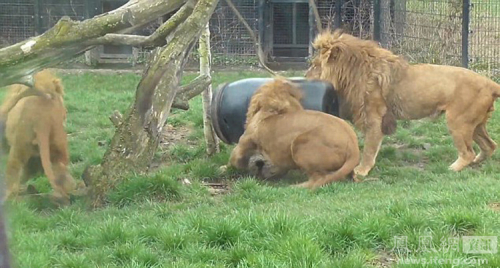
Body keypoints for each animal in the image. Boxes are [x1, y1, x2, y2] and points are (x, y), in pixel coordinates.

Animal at [226, 77, 360, 188]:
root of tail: (354, 149)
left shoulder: (243, 143)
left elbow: (233, 159)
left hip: (299, 144)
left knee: (318, 179)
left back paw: (295, 187)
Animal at [304, 29, 500, 176]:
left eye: (315, 65)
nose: (305, 76)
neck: (352, 73)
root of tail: (490, 83)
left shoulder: (374, 117)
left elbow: (369, 148)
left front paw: (361, 170)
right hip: (474, 124)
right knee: (490, 145)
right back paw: (476, 162)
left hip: (458, 122)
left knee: (468, 152)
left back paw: (453, 168)